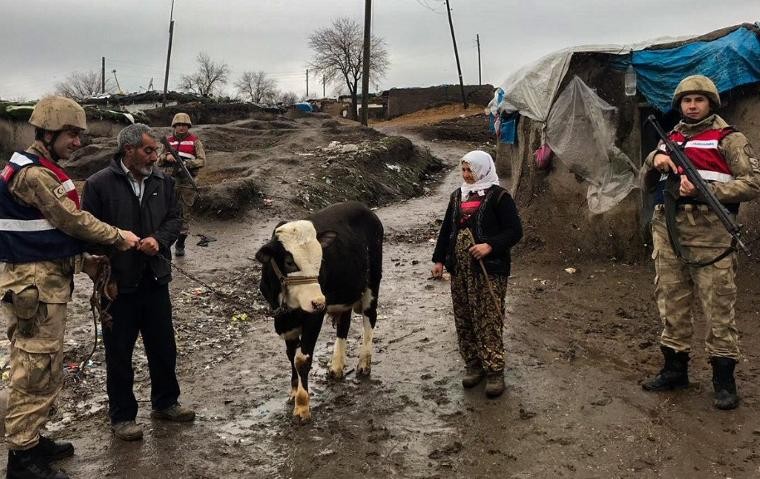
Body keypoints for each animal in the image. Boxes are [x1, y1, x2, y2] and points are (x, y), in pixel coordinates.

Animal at [256, 202, 386, 420]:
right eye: (290, 262)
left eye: (320, 261)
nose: (318, 301)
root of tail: (363, 207)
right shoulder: (284, 319)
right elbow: (291, 354)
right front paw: (294, 392)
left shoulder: (313, 317)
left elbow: (302, 359)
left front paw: (302, 406)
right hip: (345, 293)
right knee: (344, 325)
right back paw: (336, 367)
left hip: (373, 281)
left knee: (370, 318)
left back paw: (364, 364)